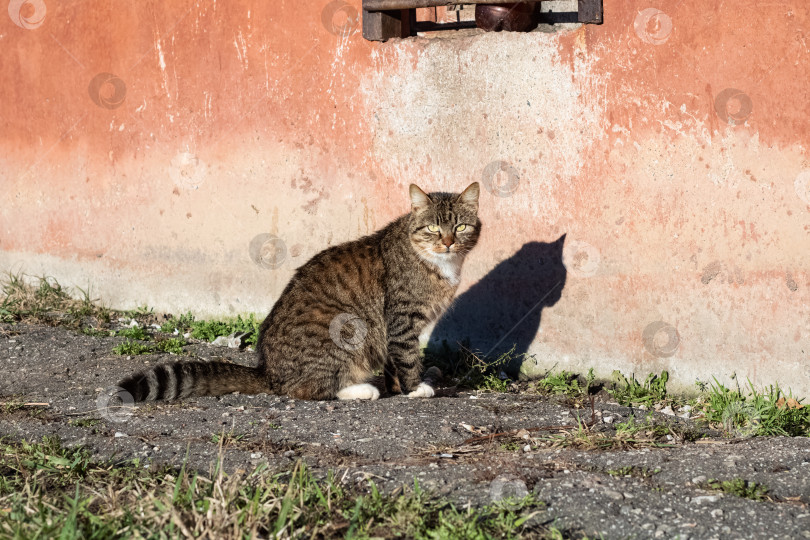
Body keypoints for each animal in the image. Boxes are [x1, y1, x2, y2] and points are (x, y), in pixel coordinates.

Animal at [117, 184, 476, 398]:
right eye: (433, 227)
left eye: (460, 226)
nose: (448, 242)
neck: (441, 264)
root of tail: (268, 373)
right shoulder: (401, 319)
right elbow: (407, 356)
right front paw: (414, 389)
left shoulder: (395, 325)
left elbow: (394, 361)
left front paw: (397, 387)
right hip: (344, 330)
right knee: (308, 389)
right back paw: (360, 390)